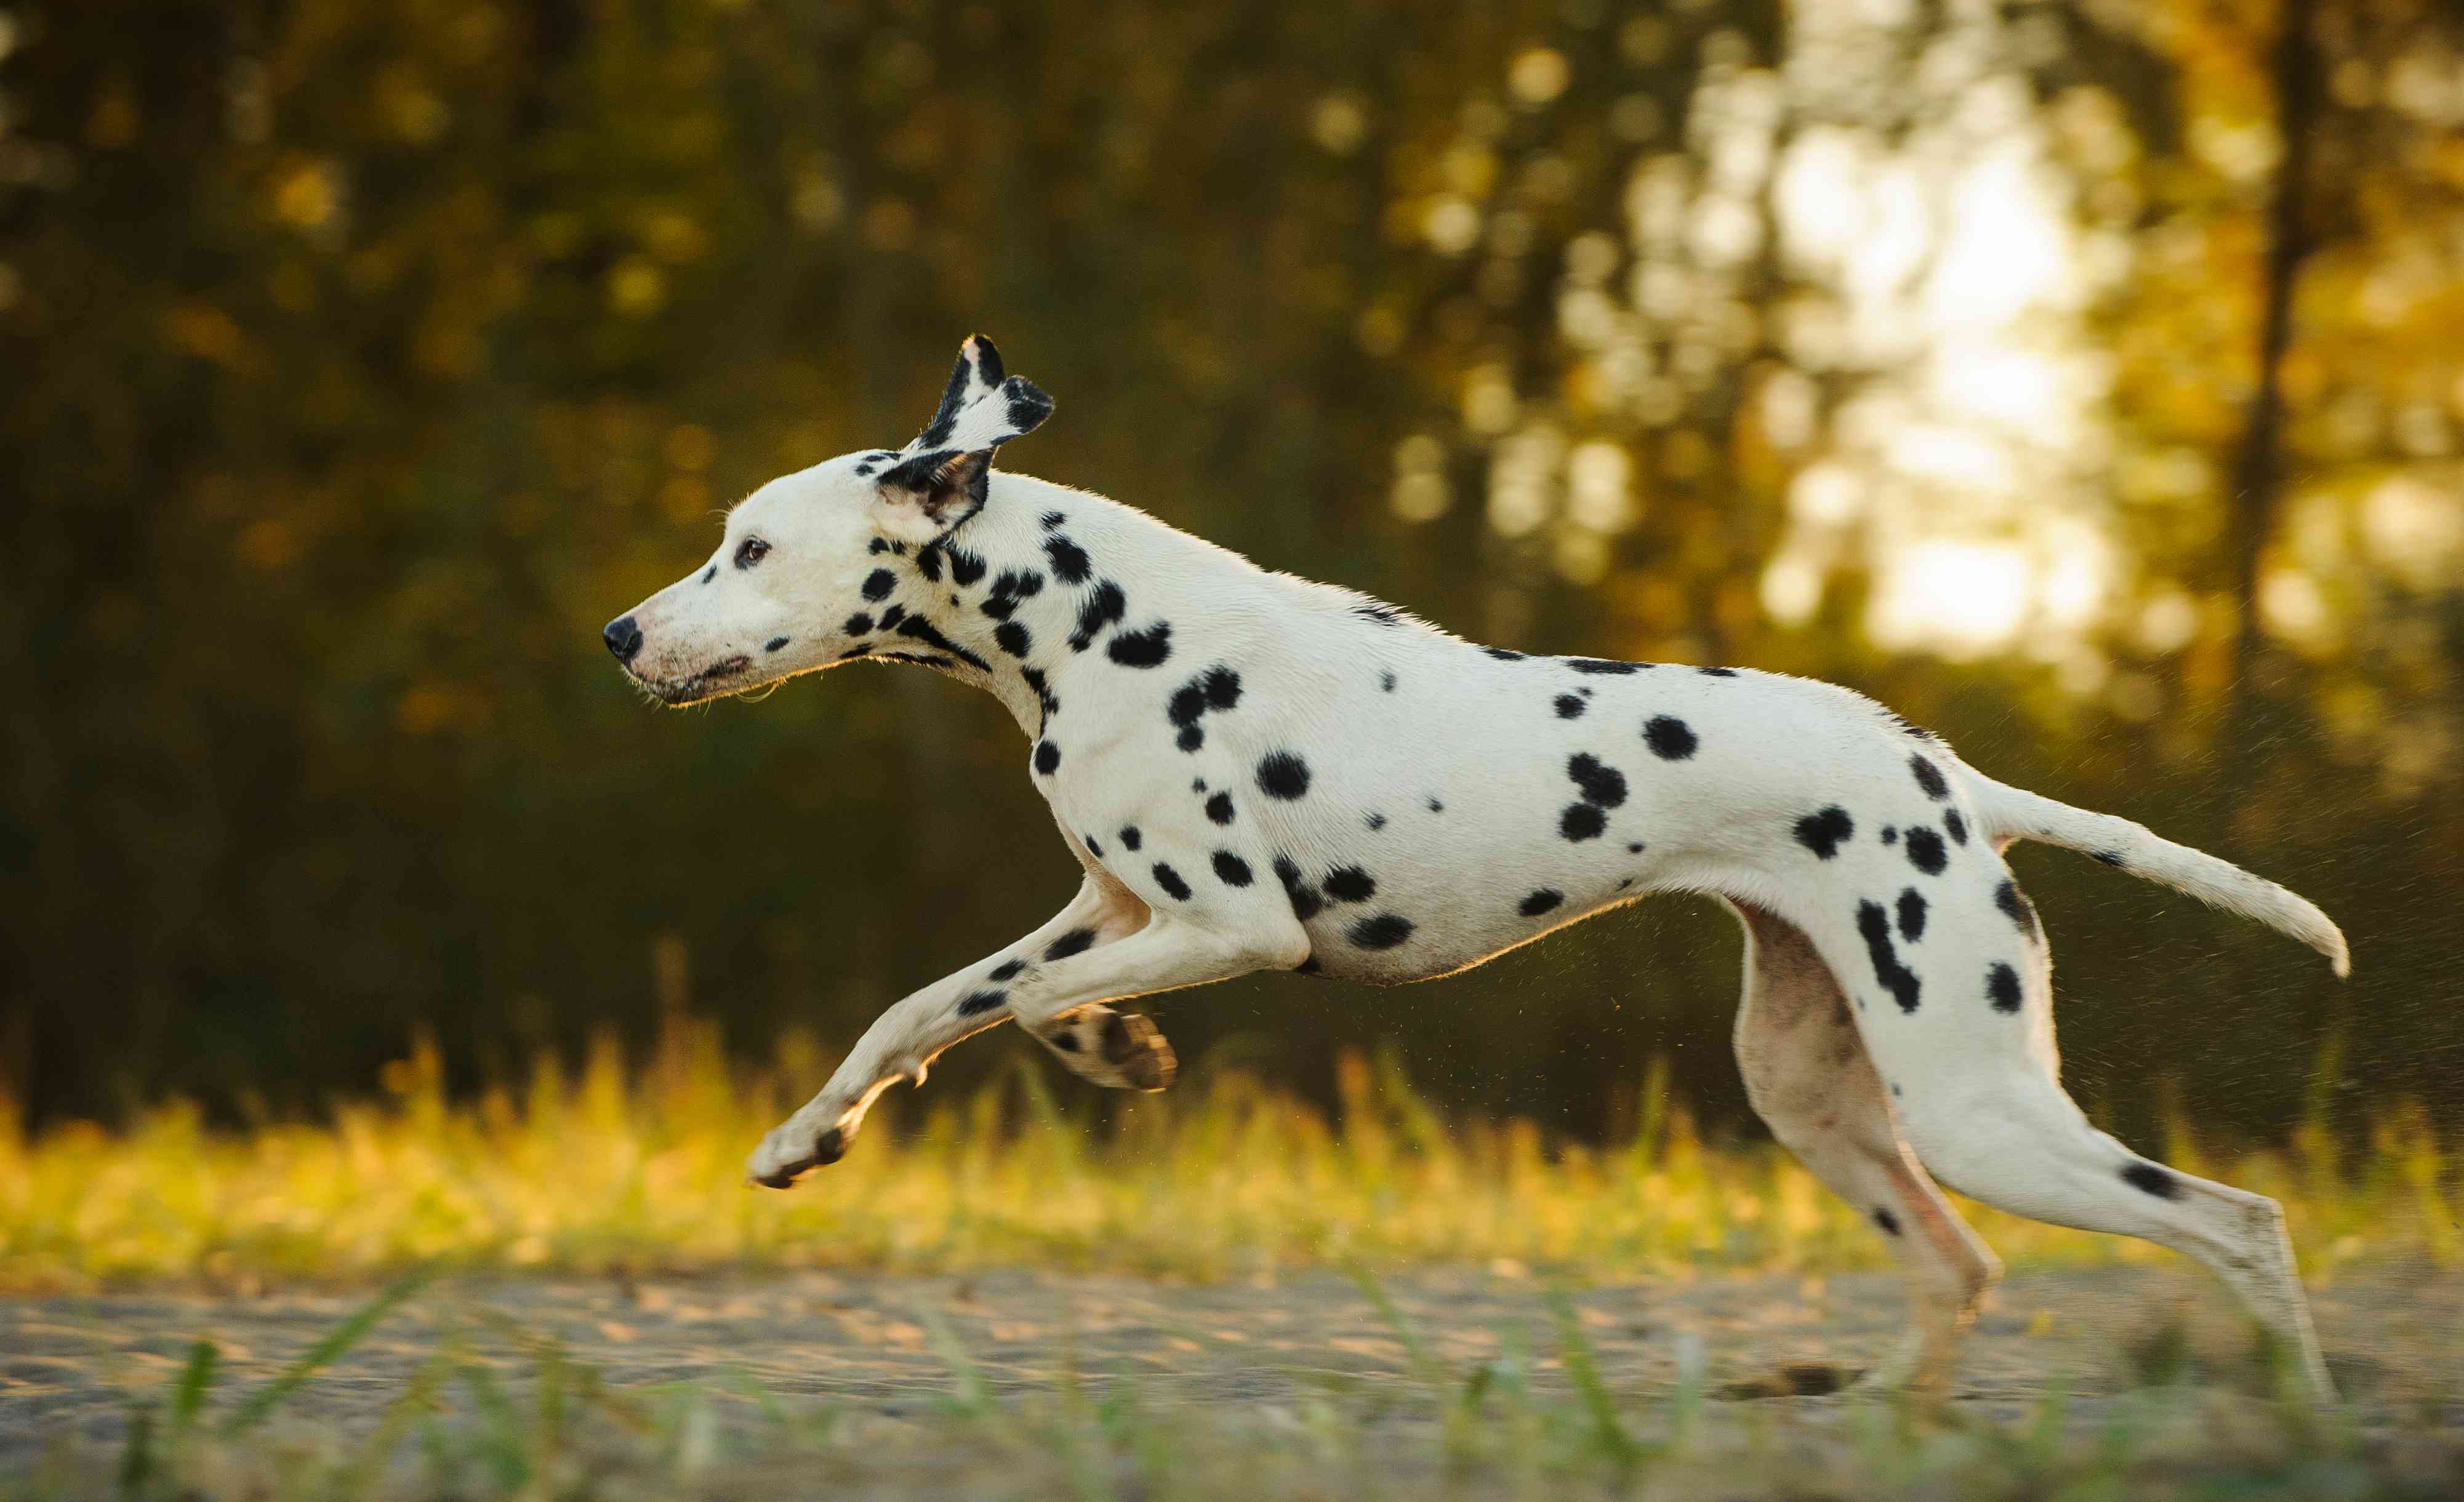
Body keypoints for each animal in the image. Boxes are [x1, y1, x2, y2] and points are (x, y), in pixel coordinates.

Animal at [611, 340, 2345, 1389]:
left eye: (747, 547)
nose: (623, 632)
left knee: (2236, 1224)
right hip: (1824, 1097)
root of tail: (1951, 779)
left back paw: (2299, 1413)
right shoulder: (1105, 906)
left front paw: (1110, 1049)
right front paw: (812, 1135)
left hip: (1980, 1108)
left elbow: (1023, 1007)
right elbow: (928, 1008)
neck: (1098, 624)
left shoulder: (1232, 923)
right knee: (1962, 1267)